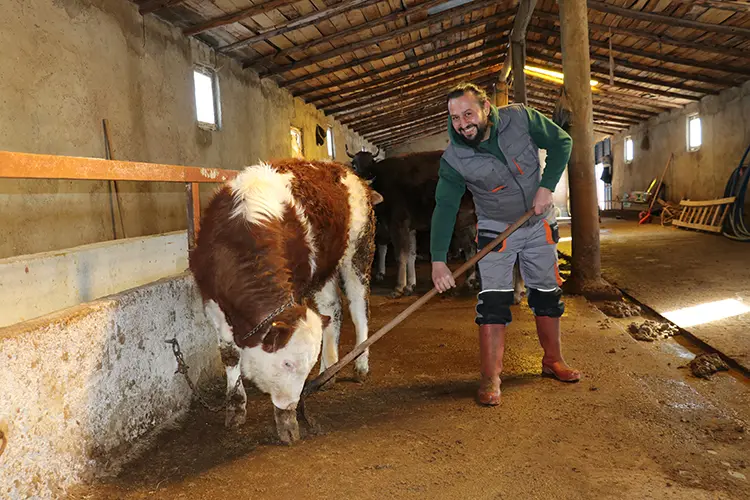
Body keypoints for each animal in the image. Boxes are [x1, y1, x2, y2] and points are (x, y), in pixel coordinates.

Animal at [189, 158, 382, 444]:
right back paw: (329, 369)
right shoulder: (212, 302)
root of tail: (345, 170)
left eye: (304, 366)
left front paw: (287, 423)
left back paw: (360, 365)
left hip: (359, 249)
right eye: (287, 363)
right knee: (333, 308)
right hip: (324, 268)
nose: (291, 405)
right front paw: (235, 408)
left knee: (360, 309)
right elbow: (229, 354)